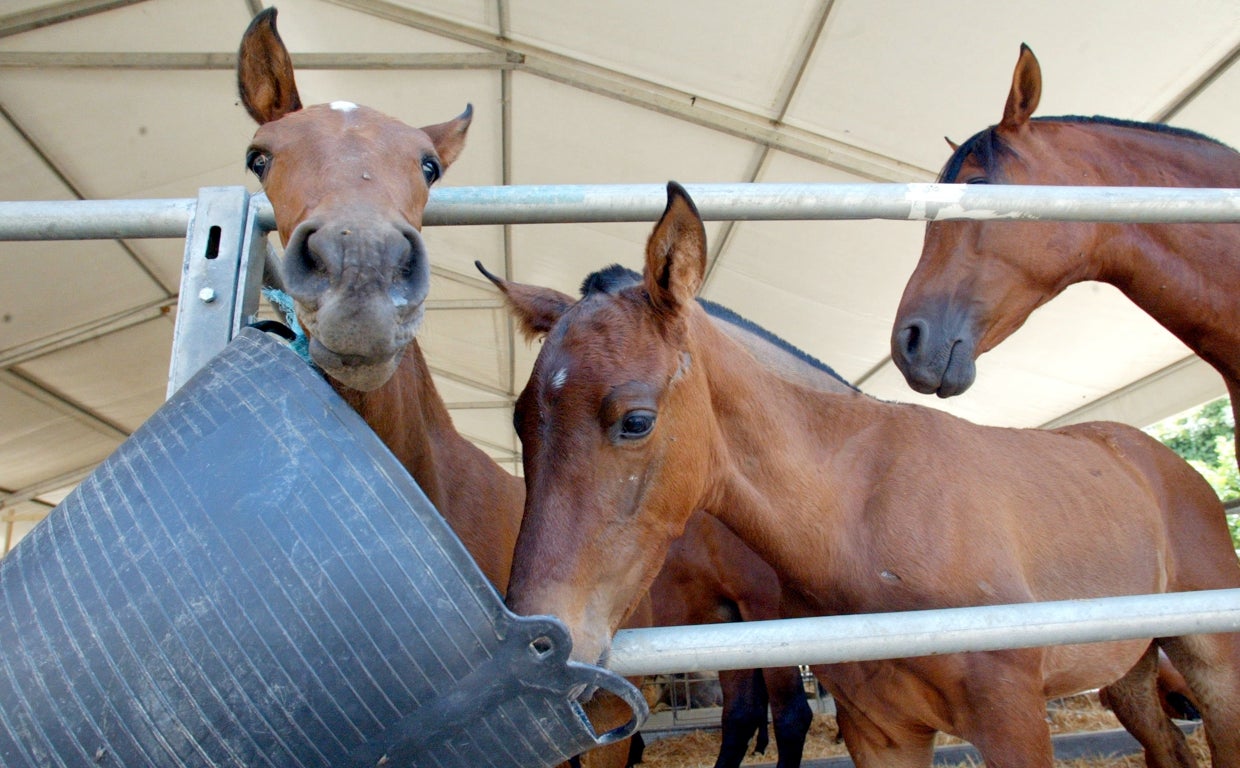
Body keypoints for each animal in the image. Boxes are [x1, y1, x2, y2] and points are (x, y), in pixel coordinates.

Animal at [488, 182, 1240, 768]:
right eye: (524, 422)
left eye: (636, 420)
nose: (539, 643)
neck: (864, 516)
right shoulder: (880, 732)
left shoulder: (1013, 718)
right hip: (1131, 669)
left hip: (1214, 666)